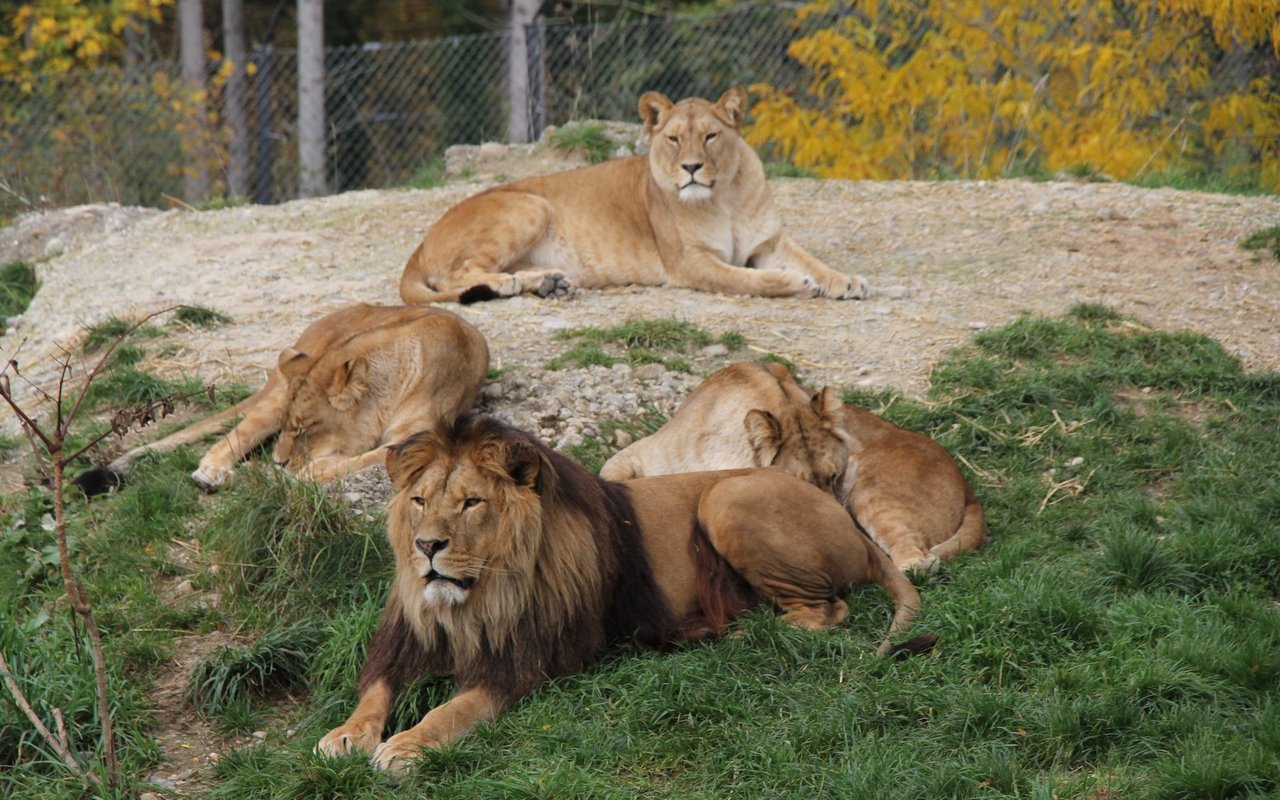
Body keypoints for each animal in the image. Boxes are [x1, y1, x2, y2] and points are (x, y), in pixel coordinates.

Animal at [74, 305, 486, 494]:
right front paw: (293, 471)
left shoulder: (422, 434)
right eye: (293, 428)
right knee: (229, 438)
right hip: (275, 396)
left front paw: (305, 470)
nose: (279, 461)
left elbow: (370, 457)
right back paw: (214, 474)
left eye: (304, 429)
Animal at [317, 409, 921, 773]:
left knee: (827, 609)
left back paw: (739, 634)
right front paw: (345, 735)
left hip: (726, 498)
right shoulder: (406, 642)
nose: (426, 546)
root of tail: (852, 524)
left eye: (471, 503)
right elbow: (374, 693)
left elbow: (455, 709)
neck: (474, 602)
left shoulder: (529, 660)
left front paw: (406, 745)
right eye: (420, 500)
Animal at [394, 87, 865, 304]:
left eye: (710, 137)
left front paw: (847, 280)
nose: (691, 168)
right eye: (674, 139)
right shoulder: (689, 263)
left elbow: (812, 260)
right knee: (457, 275)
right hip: (529, 204)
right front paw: (794, 283)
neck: (724, 197)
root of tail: (420, 243)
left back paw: (548, 282)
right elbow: (746, 279)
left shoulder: (769, 243)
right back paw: (507, 283)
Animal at [596, 360, 977, 573]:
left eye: (835, 476)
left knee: (921, 559)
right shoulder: (636, 453)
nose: (840, 529)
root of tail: (967, 486)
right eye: (802, 486)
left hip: (874, 495)